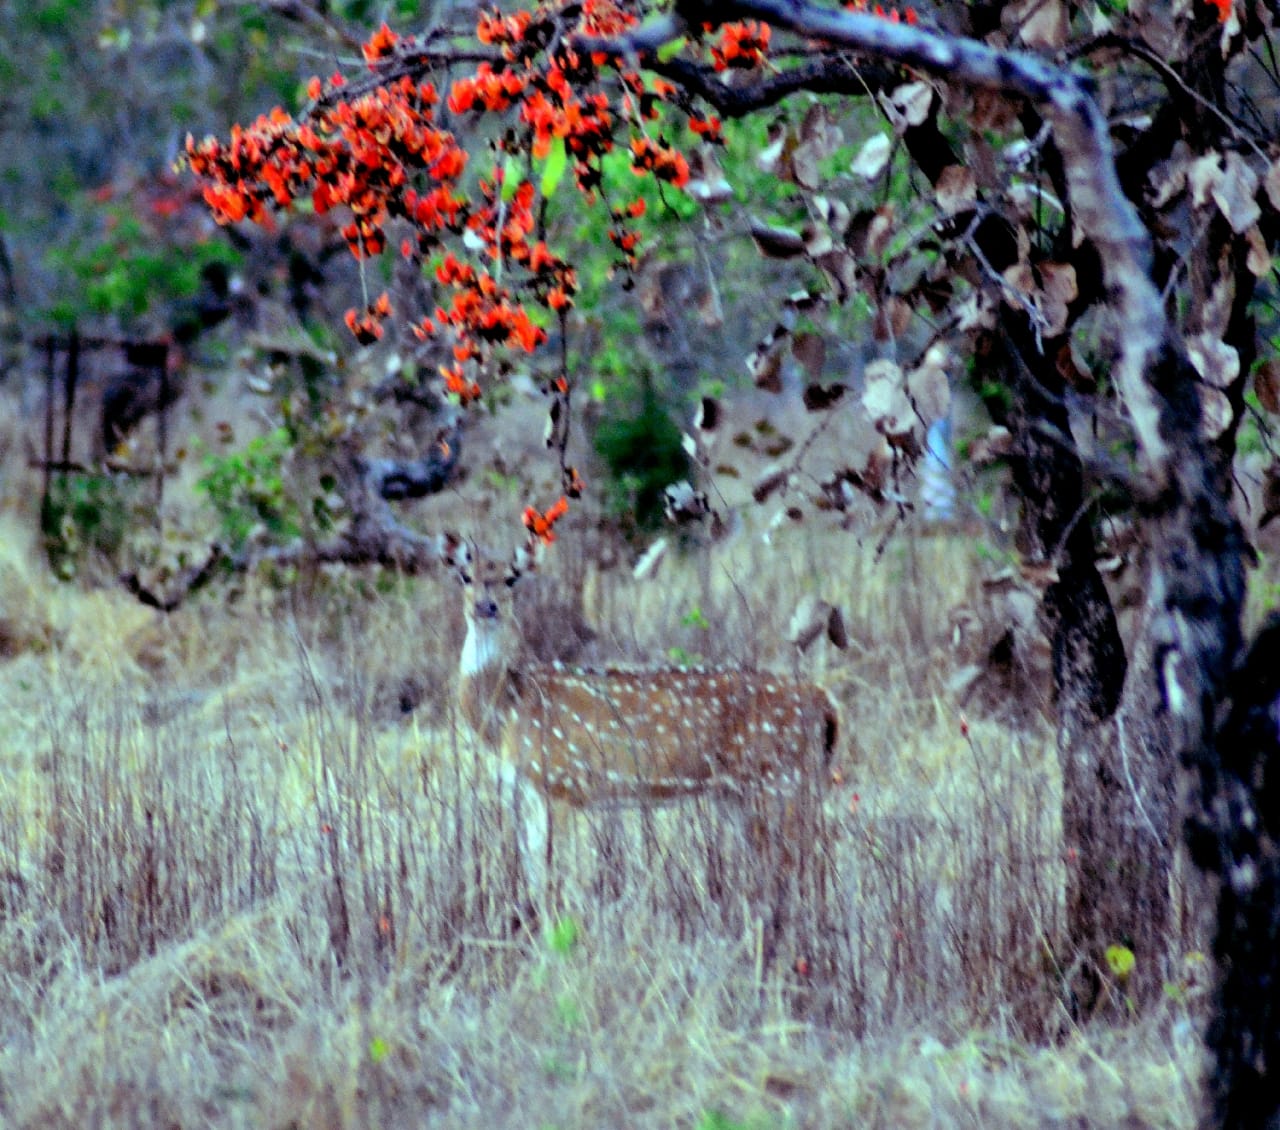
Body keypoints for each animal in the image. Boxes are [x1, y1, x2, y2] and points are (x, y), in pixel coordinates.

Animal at [450, 545, 839, 890]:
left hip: (780, 779)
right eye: (465, 575)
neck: (509, 709)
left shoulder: (561, 783)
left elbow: (552, 879)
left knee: (804, 860)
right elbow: (534, 876)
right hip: (741, 794)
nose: (486, 606)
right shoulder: (526, 793)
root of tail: (826, 702)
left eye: (511, 577)